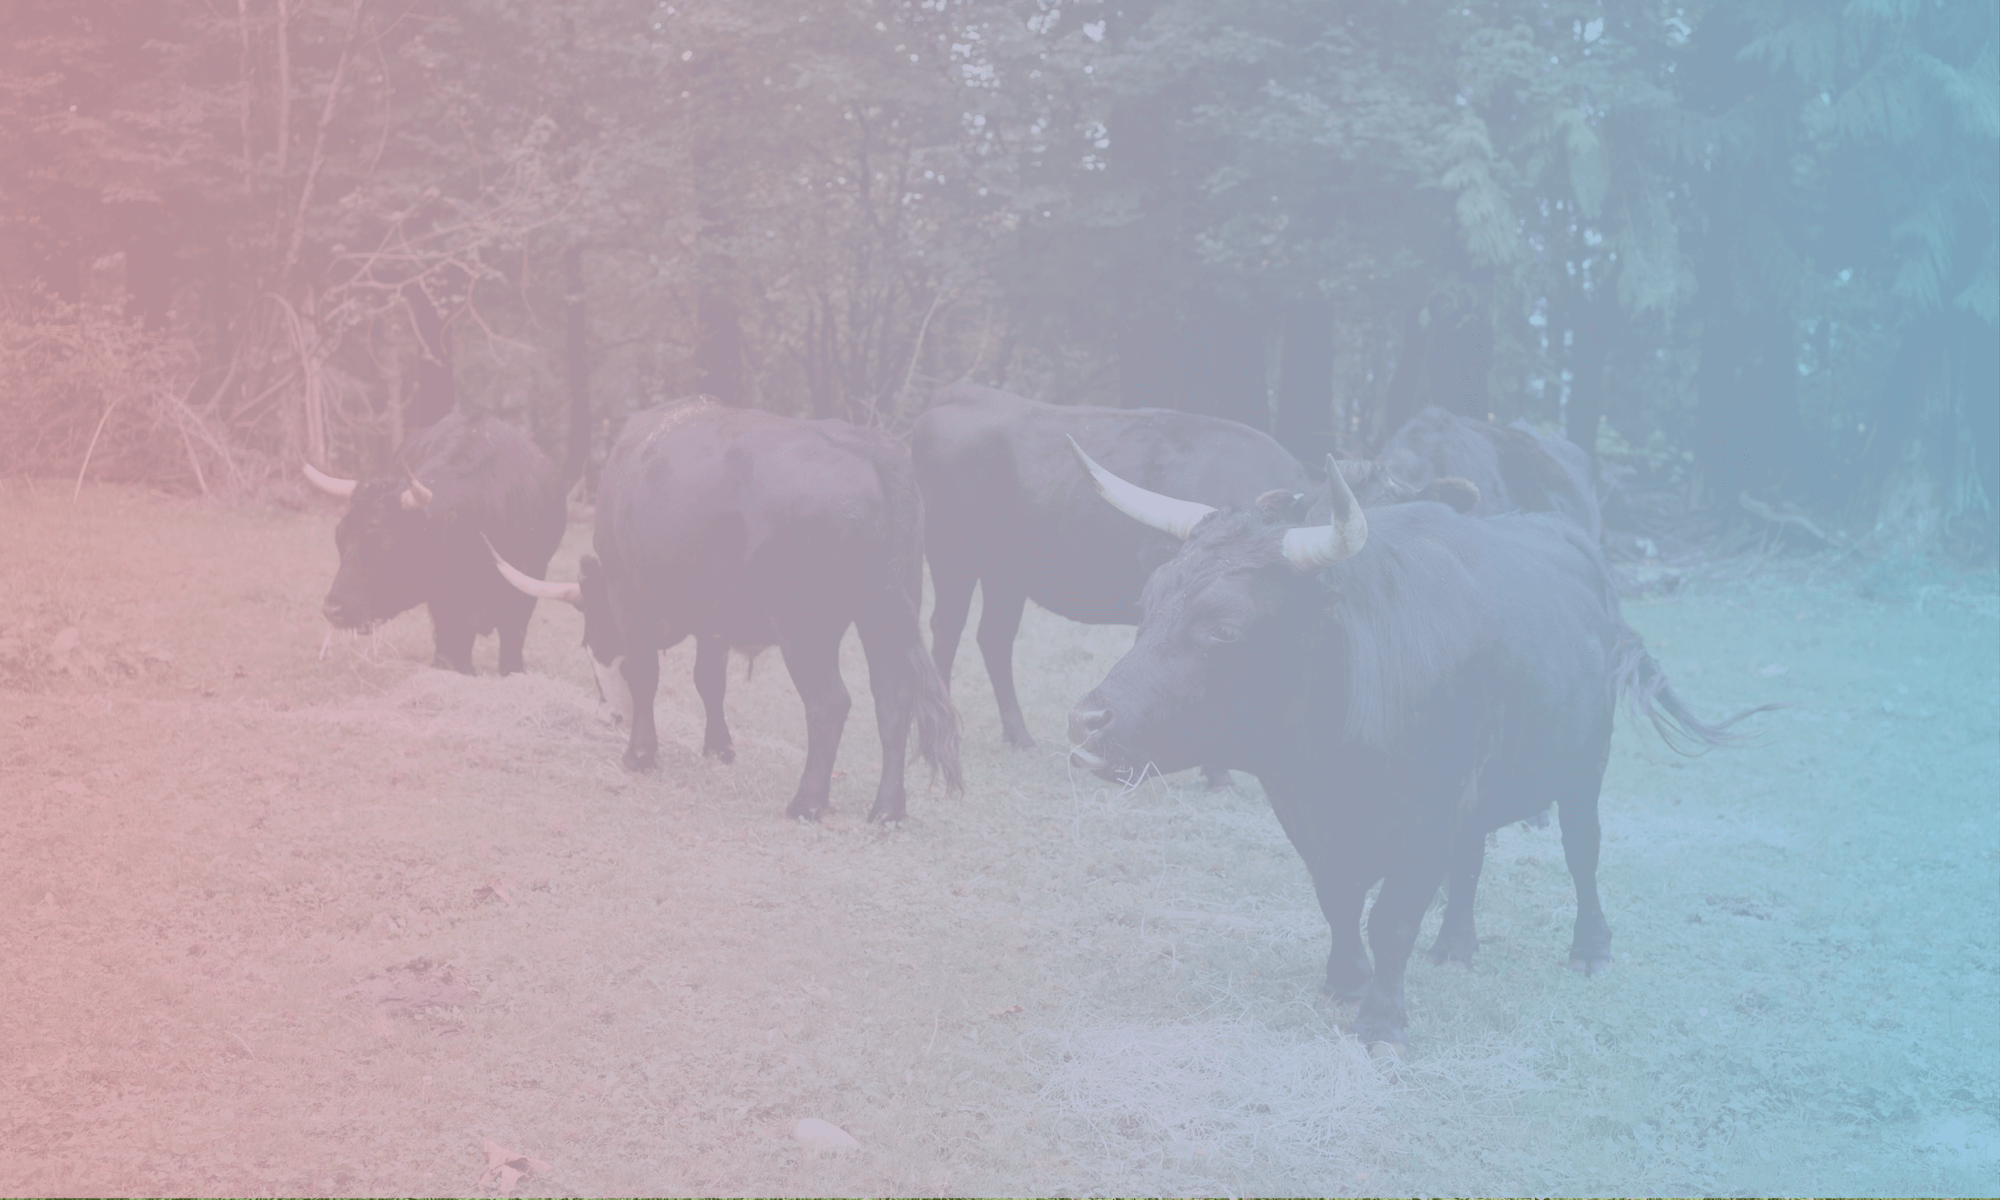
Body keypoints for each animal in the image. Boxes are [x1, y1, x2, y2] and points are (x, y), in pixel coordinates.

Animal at [303, 408, 566, 675]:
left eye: (385, 546)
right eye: (340, 538)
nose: (332, 609)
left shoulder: (528, 583)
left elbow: (513, 641)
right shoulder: (445, 602)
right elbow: (452, 647)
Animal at [492, 396, 960, 823]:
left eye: (593, 641)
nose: (610, 715)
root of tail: (866, 447)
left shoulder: (628, 595)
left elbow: (645, 672)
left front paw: (640, 753)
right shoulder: (712, 618)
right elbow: (709, 681)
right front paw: (718, 746)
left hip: (804, 628)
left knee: (829, 703)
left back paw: (807, 802)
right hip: (883, 614)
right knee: (894, 700)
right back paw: (888, 808)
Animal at [911, 383, 1313, 755]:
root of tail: (964, 392)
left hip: (1005, 576)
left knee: (994, 638)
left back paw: (1019, 737)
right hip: (951, 557)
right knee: (947, 629)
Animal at [1062, 445, 1757, 1049]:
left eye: (1225, 629)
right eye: (1146, 604)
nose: (1086, 720)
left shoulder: (1429, 812)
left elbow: (1392, 917)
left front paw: (1382, 1022)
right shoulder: (1308, 811)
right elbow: (1339, 897)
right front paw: (1347, 980)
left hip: (1584, 764)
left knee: (1582, 850)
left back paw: (1591, 949)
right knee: (1472, 859)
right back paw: (1455, 946)